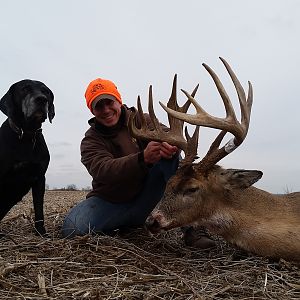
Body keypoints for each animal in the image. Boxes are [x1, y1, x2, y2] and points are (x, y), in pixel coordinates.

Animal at [0, 79, 54, 234]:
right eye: (24, 89)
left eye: (46, 91)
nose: (42, 99)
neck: (27, 135)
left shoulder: (39, 178)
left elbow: (39, 208)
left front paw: (41, 232)